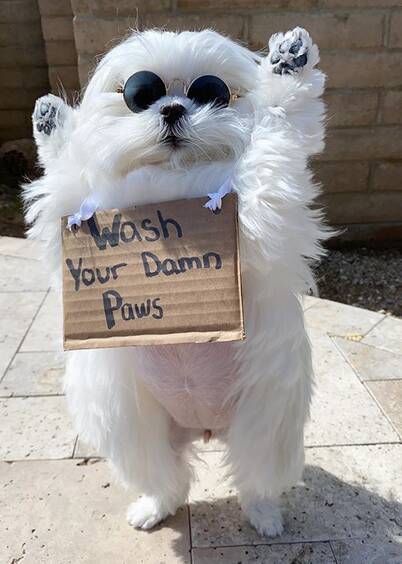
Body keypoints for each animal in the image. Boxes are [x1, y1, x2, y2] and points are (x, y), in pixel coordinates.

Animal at [23, 27, 328, 536]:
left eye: (211, 92)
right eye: (139, 94)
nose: (171, 108)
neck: (174, 181)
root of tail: (203, 427)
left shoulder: (261, 211)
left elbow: (277, 127)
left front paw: (288, 67)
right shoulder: (68, 216)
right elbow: (65, 175)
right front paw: (53, 125)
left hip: (263, 425)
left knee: (256, 478)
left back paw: (265, 518)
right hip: (135, 429)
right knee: (166, 477)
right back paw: (152, 509)